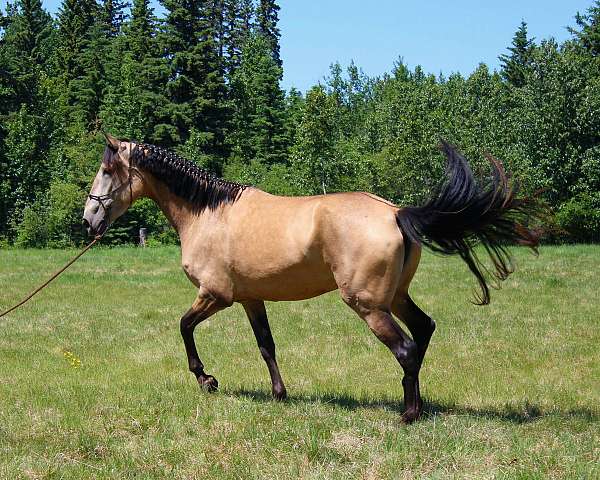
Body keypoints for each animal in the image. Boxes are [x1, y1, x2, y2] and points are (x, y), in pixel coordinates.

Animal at [82, 133, 540, 422]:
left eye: (107, 170)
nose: (89, 219)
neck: (209, 212)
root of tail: (396, 212)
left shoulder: (215, 295)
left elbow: (183, 327)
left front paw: (207, 380)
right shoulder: (250, 299)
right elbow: (266, 346)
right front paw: (279, 395)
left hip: (369, 305)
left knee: (406, 347)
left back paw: (408, 415)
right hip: (395, 297)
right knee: (424, 330)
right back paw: (418, 403)